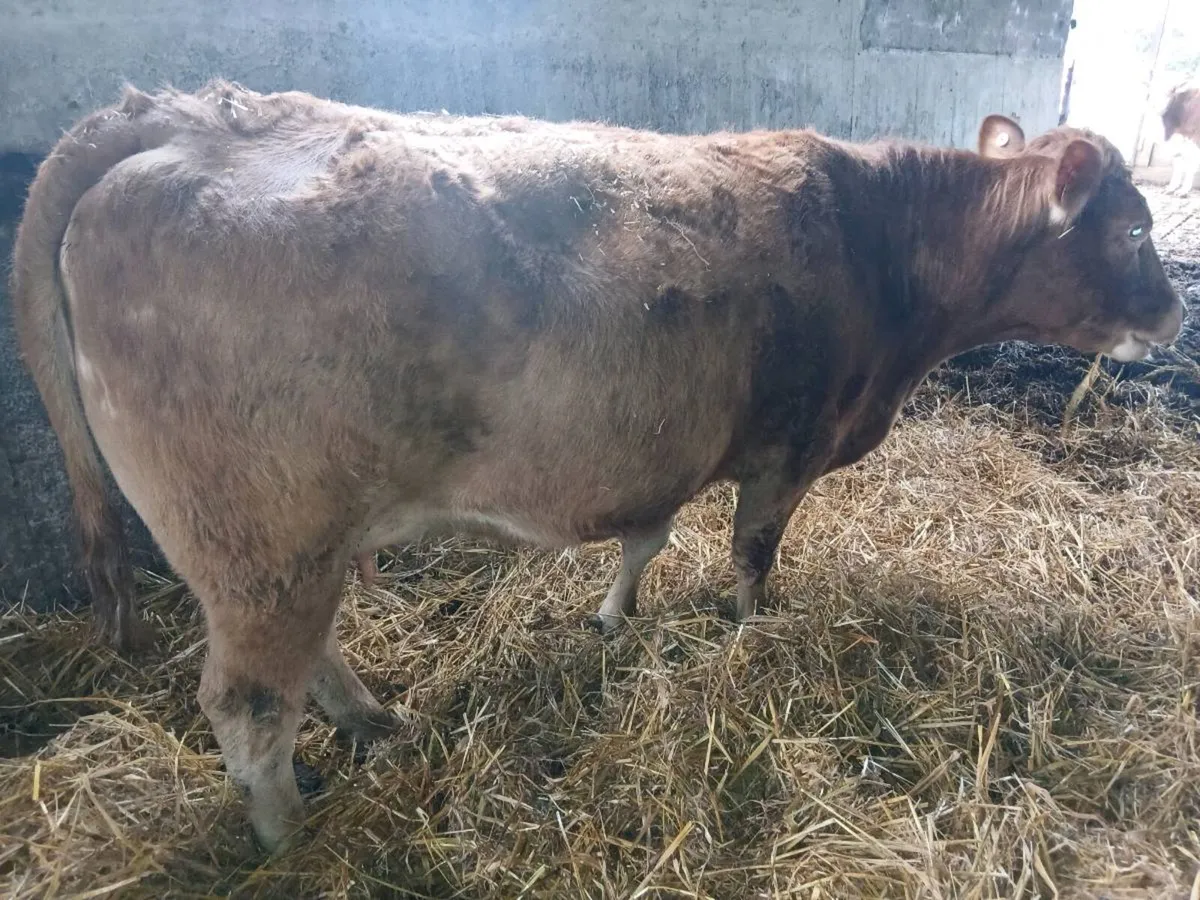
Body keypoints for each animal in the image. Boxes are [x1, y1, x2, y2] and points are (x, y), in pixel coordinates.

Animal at [11, 81, 1184, 852]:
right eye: (1132, 228)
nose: (1174, 315)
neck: (879, 248)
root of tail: (192, 115)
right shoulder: (789, 450)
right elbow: (751, 556)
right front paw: (748, 638)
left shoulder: (663, 452)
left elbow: (646, 537)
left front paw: (616, 618)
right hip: (259, 536)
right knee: (252, 705)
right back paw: (291, 847)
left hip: (285, 545)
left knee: (308, 657)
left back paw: (374, 723)